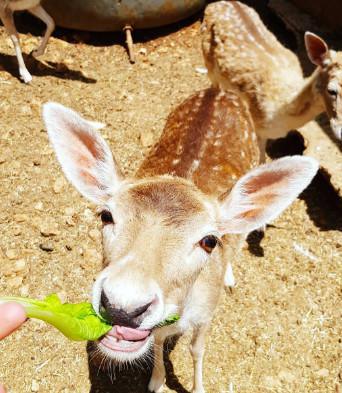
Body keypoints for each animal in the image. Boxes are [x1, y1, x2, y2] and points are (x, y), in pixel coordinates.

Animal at [42, 87, 318, 390]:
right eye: (106, 215)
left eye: (209, 241)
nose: (122, 307)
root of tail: (220, 90)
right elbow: (158, 340)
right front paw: (156, 382)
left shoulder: (208, 312)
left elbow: (197, 349)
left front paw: (199, 388)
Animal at [202, 0, 342, 159]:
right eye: (331, 90)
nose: (340, 132)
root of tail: (214, 3)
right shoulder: (258, 126)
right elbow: (261, 160)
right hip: (207, 59)